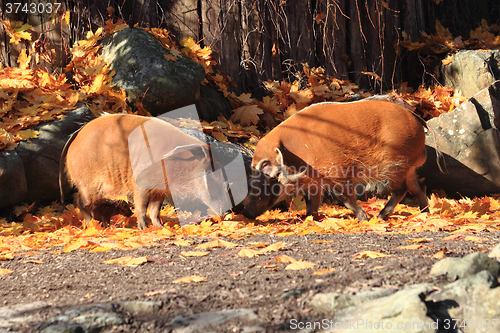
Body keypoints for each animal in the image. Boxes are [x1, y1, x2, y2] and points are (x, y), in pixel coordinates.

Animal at [59, 114, 222, 228]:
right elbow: (142, 206)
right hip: (86, 183)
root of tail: (75, 136)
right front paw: (144, 228)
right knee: (81, 202)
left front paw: (160, 227)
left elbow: (155, 209)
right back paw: (91, 225)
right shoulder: (141, 183)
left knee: (95, 204)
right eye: (211, 172)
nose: (225, 211)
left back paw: (103, 225)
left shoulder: (159, 189)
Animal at [242, 100, 430, 219]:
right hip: (409, 169)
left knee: (402, 190)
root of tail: (418, 123)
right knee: (418, 188)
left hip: (396, 167)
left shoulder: (338, 172)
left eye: (266, 173)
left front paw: (364, 218)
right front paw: (309, 218)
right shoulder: (315, 183)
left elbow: (346, 198)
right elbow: (311, 204)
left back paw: (381, 216)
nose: (245, 213)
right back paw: (425, 213)